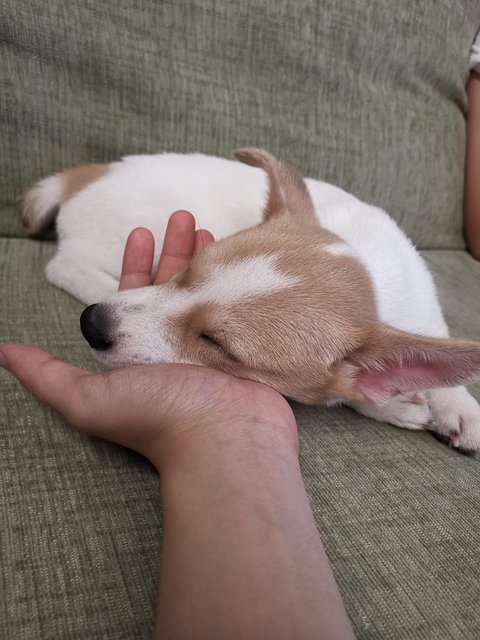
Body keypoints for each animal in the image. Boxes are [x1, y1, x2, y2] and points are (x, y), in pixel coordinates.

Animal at [19, 149, 480, 456]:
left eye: (217, 344)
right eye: (185, 272)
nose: (92, 324)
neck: (374, 277)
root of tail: (87, 175)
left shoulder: (426, 318)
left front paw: (457, 405)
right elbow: (349, 391)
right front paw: (395, 405)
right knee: (63, 266)